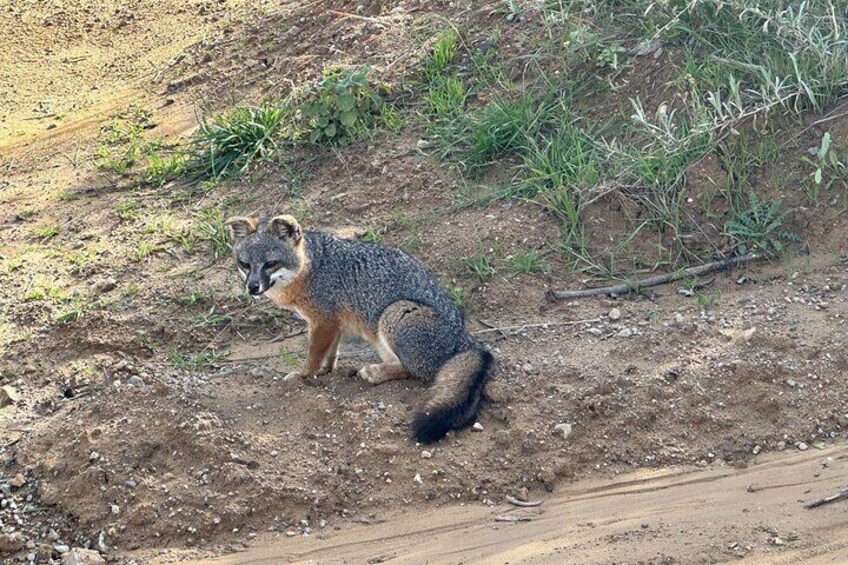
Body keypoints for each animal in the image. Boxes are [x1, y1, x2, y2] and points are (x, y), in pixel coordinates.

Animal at [225, 214, 494, 442]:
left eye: (270, 263)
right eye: (245, 264)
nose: (252, 287)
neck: (312, 267)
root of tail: (466, 338)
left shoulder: (323, 321)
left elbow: (313, 354)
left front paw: (304, 375)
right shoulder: (333, 323)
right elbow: (330, 352)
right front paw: (326, 370)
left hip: (393, 314)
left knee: (417, 371)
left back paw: (374, 372)